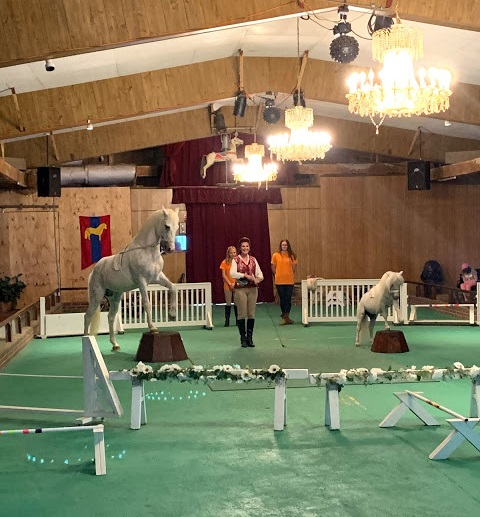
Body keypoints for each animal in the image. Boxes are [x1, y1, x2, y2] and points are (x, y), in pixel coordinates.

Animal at [83, 207, 180, 351]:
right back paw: (85, 339)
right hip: (97, 296)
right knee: (88, 316)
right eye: (167, 226)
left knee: (111, 317)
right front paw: (152, 328)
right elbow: (147, 303)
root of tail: (94, 271)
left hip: (115, 298)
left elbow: (173, 287)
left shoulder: (157, 278)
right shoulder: (142, 282)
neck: (147, 251)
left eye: (177, 226)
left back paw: (115, 344)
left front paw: (172, 315)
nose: (170, 249)